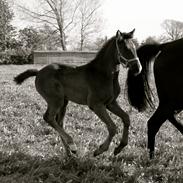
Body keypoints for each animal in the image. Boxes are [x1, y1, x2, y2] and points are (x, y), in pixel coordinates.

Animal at [14, 29, 142, 157]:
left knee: (59, 122)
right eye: (126, 48)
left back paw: (69, 153)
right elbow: (112, 127)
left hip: (64, 102)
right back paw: (72, 145)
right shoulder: (96, 105)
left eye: (134, 48)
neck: (104, 75)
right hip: (55, 100)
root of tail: (39, 71)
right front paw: (100, 150)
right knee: (48, 118)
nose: (138, 68)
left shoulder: (111, 103)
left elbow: (126, 118)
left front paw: (120, 147)